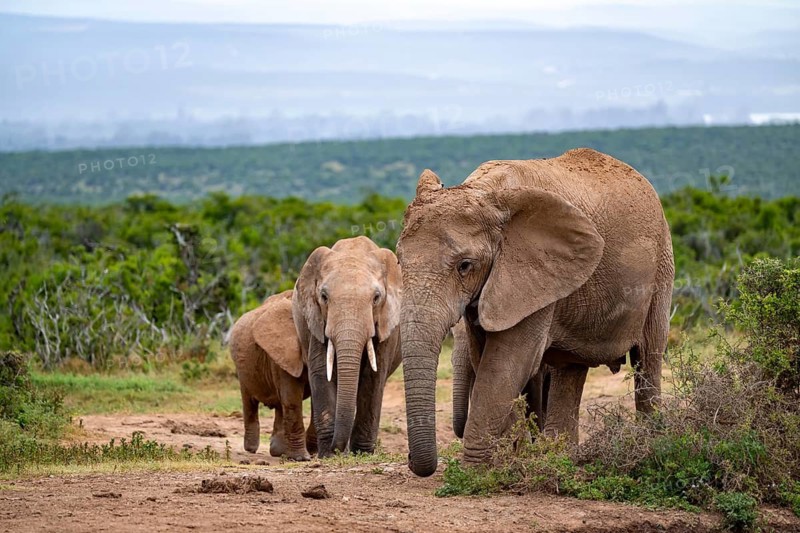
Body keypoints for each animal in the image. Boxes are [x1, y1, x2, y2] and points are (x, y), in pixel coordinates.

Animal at [229, 290, 316, 460]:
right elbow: (292, 399)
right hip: (242, 370)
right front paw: (302, 458)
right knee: (249, 402)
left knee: (280, 405)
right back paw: (251, 449)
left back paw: (278, 451)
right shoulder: (282, 354)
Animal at [293, 236, 402, 457]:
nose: (337, 450)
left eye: (376, 298)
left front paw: (362, 453)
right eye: (324, 297)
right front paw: (328, 454)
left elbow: (373, 377)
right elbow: (320, 371)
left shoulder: (386, 325)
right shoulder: (317, 320)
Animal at [397, 148, 674, 476]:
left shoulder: (533, 276)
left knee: (648, 358)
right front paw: (509, 461)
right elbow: (488, 360)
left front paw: (474, 473)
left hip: (662, 266)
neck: (485, 193)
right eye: (399, 260)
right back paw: (562, 457)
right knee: (572, 368)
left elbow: (505, 364)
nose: (413, 461)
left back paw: (651, 447)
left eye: (465, 265)